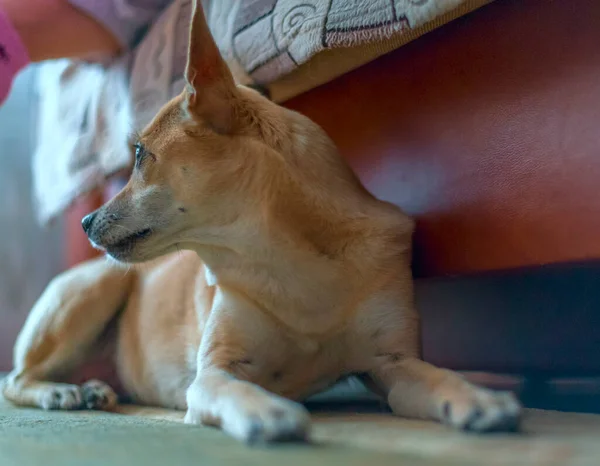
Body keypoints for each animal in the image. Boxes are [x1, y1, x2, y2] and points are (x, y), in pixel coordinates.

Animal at [2, 0, 520, 444]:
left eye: (139, 155)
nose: (85, 222)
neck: (284, 259)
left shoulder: (393, 363)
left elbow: (436, 376)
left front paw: (478, 397)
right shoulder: (213, 373)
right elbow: (234, 389)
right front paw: (268, 411)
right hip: (96, 288)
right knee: (17, 379)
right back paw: (63, 392)